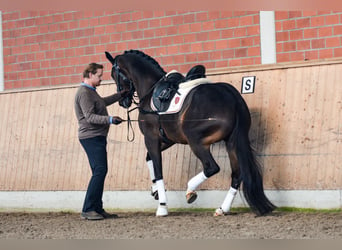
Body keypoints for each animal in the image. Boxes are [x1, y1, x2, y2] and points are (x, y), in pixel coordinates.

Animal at [104, 49, 276, 216]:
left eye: (114, 75)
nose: (123, 101)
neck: (151, 90)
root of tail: (231, 96)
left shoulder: (151, 138)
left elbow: (158, 170)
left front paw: (162, 207)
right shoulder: (167, 140)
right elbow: (149, 159)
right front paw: (155, 191)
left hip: (196, 141)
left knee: (211, 167)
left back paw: (190, 190)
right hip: (232, 142)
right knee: (236, 174)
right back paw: (222, 209)